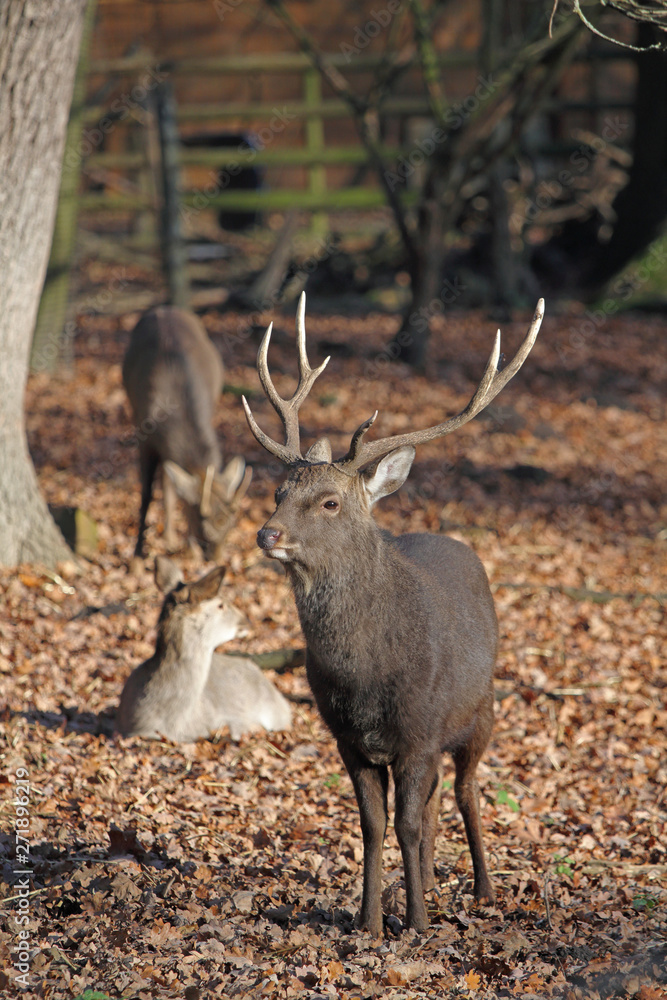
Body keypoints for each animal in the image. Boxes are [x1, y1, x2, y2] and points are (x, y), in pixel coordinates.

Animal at [122, 305, 252, 561]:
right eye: (201, 525)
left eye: (231, 526)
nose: (215, 559)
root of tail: (165, 308)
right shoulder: (144, 433)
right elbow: (146, 494)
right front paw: (138, 550)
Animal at [242, 293, 544, 935]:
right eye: (279, 492)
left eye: (330, 502)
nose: (267, 533)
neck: (365, 677)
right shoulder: (348, 739)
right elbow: (374, 826)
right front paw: (370, 922)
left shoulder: (421, 731)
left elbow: (404, 823)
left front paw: (418, 925)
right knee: (434, 802)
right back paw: (427, 881)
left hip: (481, 708)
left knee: (465, 791)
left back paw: (481, 889)